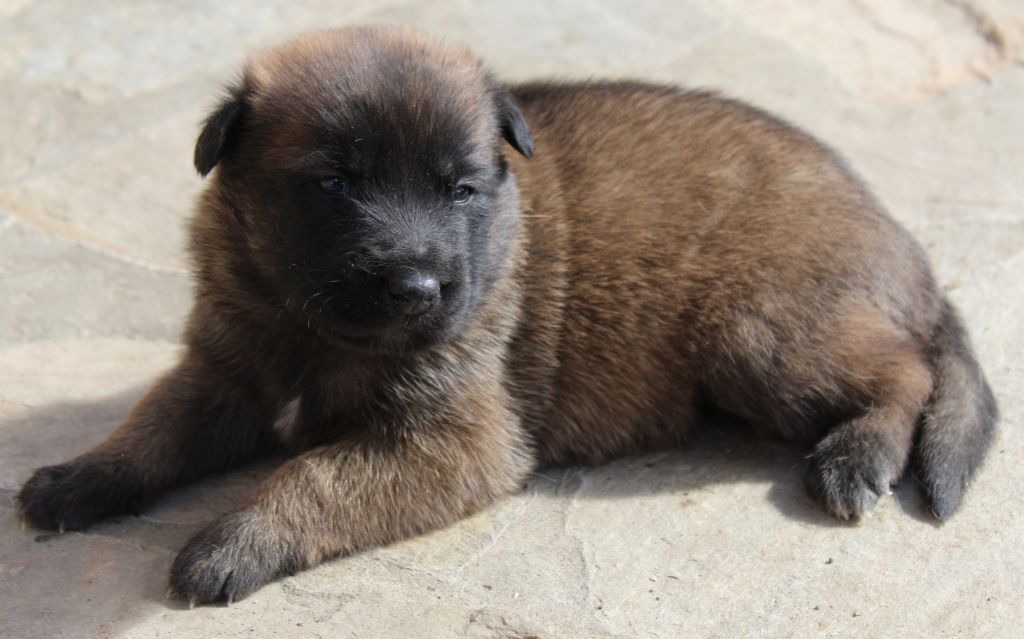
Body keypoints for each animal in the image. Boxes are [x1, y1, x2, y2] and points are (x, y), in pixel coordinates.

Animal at [17, 26, 997, 605]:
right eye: (332, 183)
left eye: (462, 190)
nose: (418, 287)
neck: (312, 330)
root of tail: (898, 236)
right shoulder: (222, 373)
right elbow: (151, 429)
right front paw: (79, 476)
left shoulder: (454, 439)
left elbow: (314, 475)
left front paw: (232, 541)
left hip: (759, 330)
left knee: (905, 369)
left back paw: (855, 457)